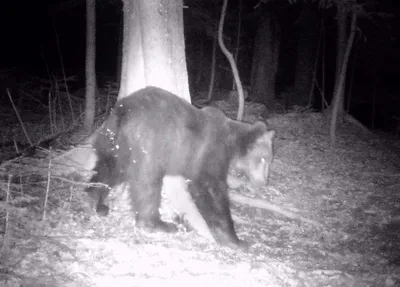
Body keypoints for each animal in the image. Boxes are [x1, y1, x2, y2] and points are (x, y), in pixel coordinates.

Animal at [86, 86, 276, 251]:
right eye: (263, 159)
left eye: (269, 159)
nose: (264, 182)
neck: (231, 144)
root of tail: (122, 111)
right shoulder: (209, 151)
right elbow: (210, 188)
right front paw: (235, 240)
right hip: (148, 144)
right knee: (147, 183)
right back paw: (158, 224)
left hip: (114, 143)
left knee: (110, 168)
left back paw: (96, 197)